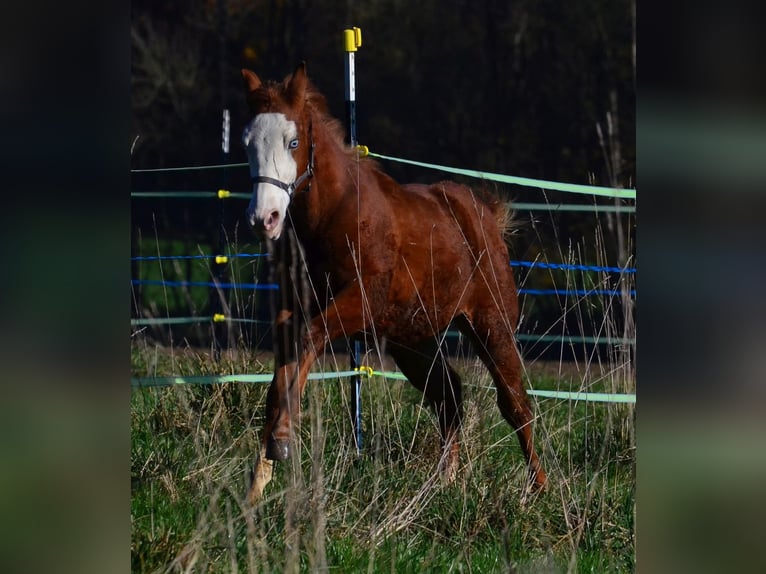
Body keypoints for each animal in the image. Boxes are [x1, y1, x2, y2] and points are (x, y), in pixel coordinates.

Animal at [241, 63, 547, 504]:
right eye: (246, 143)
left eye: (293, 141)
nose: (264, 218)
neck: (332, 217)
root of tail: (484, 213)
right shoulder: (292, 308)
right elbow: (283, 367)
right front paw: (258, 478)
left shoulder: (361, 302)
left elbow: (310, 338)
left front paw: (281, 439)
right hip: (412, 339)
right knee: (448, 395)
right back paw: (443, 483)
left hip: (491, 323)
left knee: (515, 404)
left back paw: (539, 488)